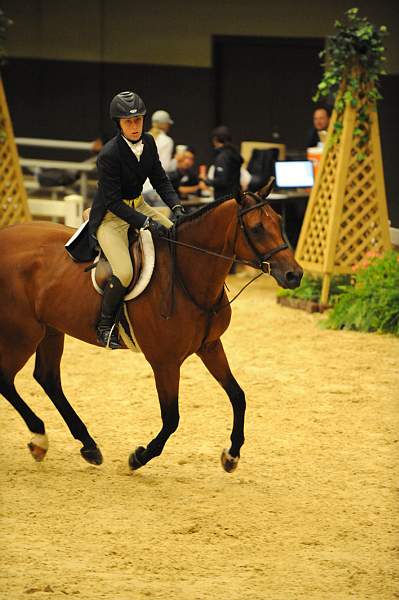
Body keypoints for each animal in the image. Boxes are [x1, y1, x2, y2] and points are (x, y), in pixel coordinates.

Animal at [0, 184, 302, 474]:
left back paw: (87, 445)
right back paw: (40, 439)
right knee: (7, 379)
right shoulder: (165, 362)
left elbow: (238, 396)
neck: (186, 275)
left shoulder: (210, 346)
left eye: (279, 221)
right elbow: (171, 419)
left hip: (50, 329)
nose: (294, 275)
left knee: (48, 379)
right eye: (256, 228)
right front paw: (138, 457)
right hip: (23, 333)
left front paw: (231, 456)